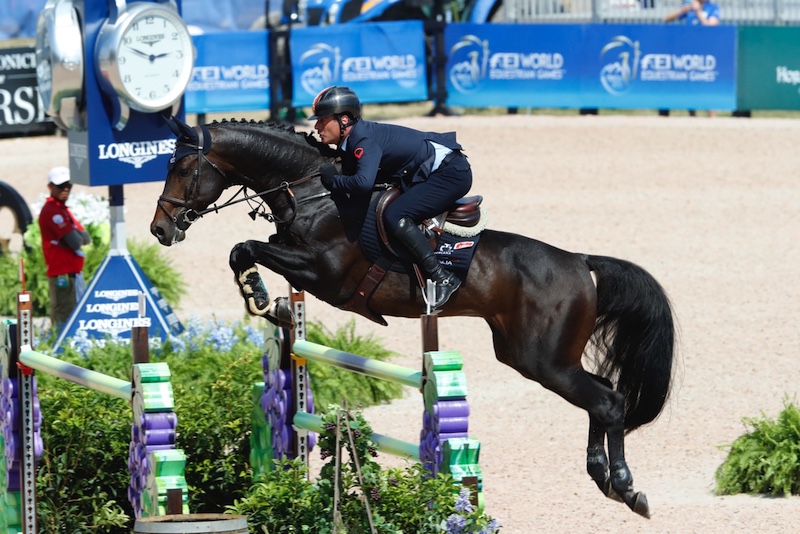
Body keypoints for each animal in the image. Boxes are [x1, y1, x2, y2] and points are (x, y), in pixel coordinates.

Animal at [150, 116, 676, 520]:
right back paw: (603, 477)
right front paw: (273, 306)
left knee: (607, 402)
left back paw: (626, 487)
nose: (159, 229)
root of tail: (580, 263)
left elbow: (244, 248)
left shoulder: (324, 273)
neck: (314, 193)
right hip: (532, 356)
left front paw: (263, 299)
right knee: (601, 396)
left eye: (182, 168)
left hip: (544, 360)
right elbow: (246, 253)